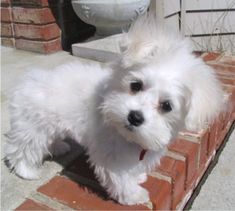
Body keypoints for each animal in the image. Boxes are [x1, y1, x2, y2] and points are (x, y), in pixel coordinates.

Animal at [4, 15, 223, 205]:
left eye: (166, 106)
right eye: (136, 85)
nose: (135, 117)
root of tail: (31, 78)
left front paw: (138, 177)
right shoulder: (111, 154)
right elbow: (120, 178)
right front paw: (134, 195)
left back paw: (58, 147)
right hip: (33, 127)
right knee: (22, 149)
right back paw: (26, 170)